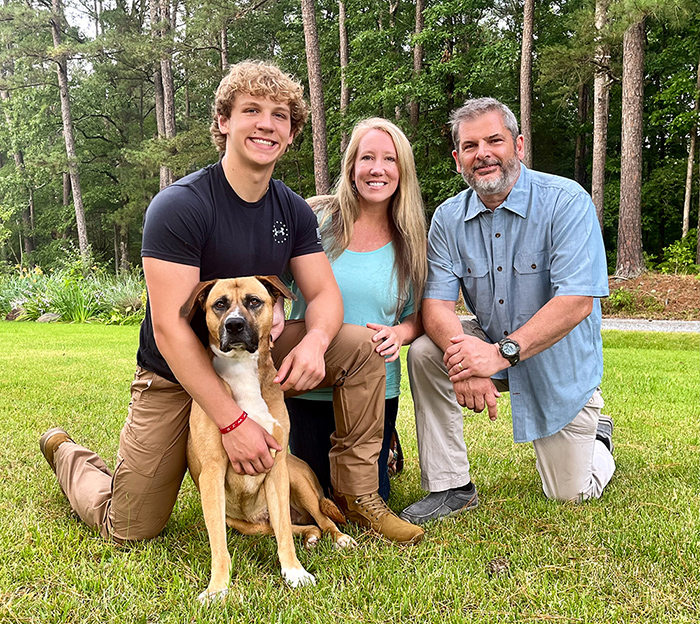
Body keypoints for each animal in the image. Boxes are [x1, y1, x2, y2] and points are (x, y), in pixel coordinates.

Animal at [180, 276, 356, 604]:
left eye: (253, 301)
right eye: (219, 304)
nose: (234, 325)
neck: (241, 369)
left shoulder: (276, 469)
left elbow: (285, 534)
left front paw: (294, 572)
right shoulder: (212, 473)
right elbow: (219, 544)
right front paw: (217, 588)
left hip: (298, 483)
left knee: (319, 521)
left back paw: (339, 538)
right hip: (250, 526)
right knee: (302, 526)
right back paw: (311, 537)